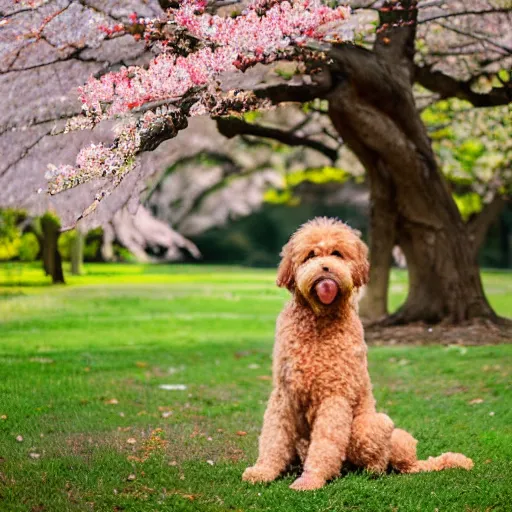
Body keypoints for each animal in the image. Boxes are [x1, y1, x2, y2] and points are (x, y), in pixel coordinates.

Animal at [242, 218, 474, 490]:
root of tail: (413, 463)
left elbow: (326, 441)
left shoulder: (335, 395)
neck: (318, 323)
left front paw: (312, 478)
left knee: (383, 458)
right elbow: (274, 435)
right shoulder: (284, 393)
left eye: (337, 254)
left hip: (375, 426)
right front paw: (263, 470)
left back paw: (370, 471)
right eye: (311, 255)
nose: (326, 269)